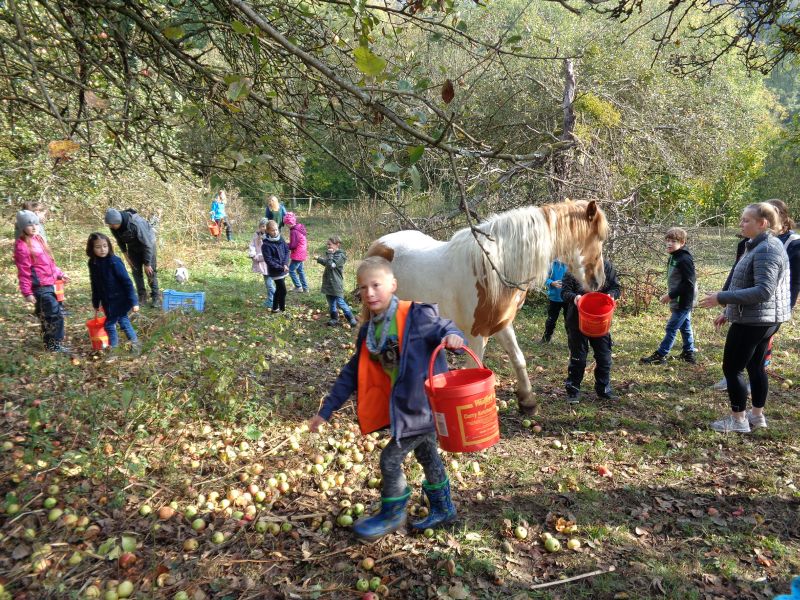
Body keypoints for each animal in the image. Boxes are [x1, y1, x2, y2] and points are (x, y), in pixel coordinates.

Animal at [368, 199, 608, 414]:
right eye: (598, 238)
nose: (599, 281)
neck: (495, 270)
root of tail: (378, 245)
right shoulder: (476, 335)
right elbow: (475, 372)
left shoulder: (502, 324)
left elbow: (518, 359)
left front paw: (527, 402)